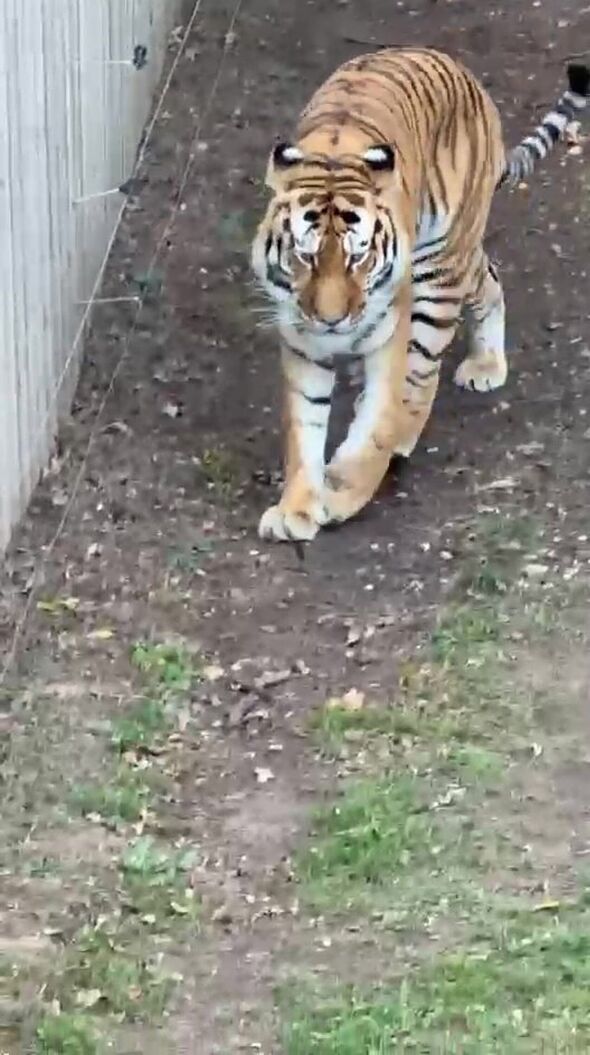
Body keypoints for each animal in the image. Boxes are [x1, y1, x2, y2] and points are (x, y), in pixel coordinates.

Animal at [251, 48, 590, 543]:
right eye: (305, 256)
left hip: (440, 269)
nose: (332, 320)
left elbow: (376, 426)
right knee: (489, 276)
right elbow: (303, 427)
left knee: (421, 376)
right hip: (459, 257)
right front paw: (295, 510)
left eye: (357, 257)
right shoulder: (303, 344)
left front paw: (342, 494)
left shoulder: (388, 336)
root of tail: (458, 68)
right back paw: (484, 364)